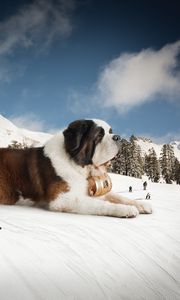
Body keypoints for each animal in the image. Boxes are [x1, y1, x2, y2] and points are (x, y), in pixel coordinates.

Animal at [0, 119, 152, 218]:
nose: (118, 137)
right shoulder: (63, 200)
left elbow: (118, 196)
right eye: (99, 135)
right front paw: (126, 209)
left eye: (110, 131)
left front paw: (141, 204)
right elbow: (99, 204)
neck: (78, 165)